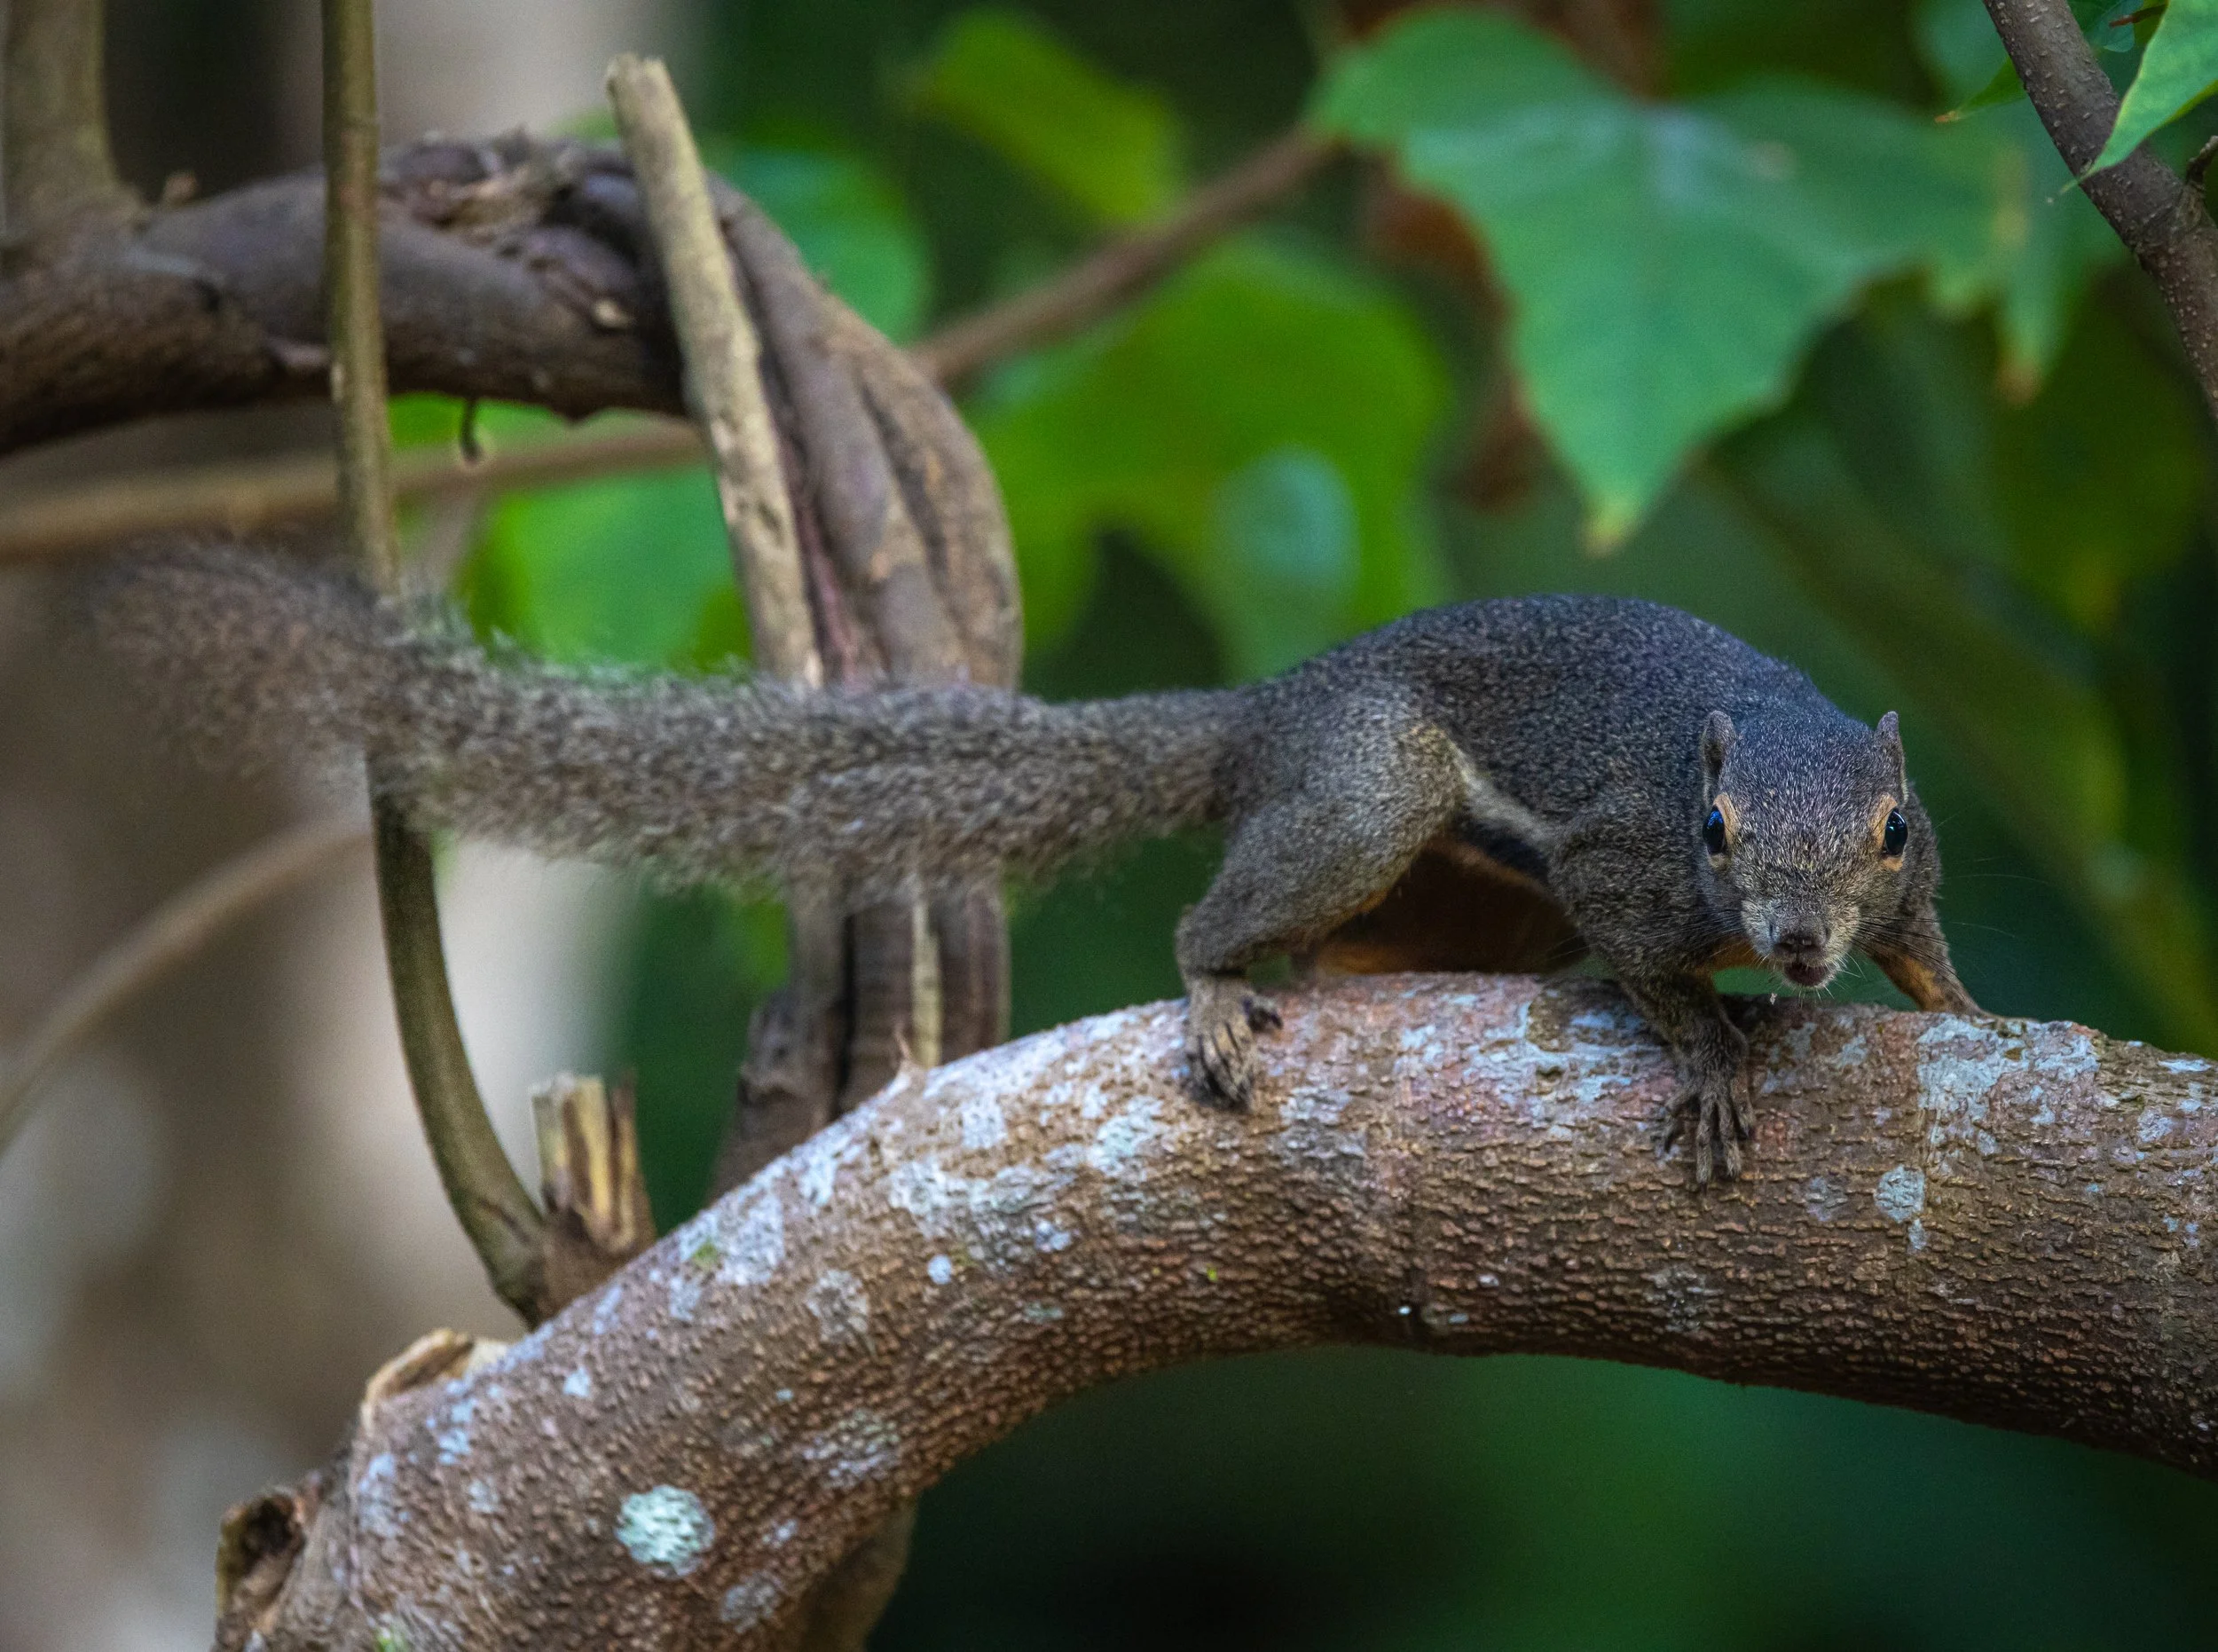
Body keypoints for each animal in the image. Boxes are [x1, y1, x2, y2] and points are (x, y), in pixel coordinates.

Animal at [94, 547, 1978, 1183]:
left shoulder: (1914, 871)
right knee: (1221, 913)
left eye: (1887, 829)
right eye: (1715, 834)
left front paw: (1950, 1000)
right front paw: (1709, 1048)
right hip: (1363, 798)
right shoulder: (1621, 863)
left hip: (1443, 881)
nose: (1794, 948)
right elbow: (1643, 955)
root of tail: (1264, 715)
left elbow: (1931, 949)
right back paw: (1216, 983)